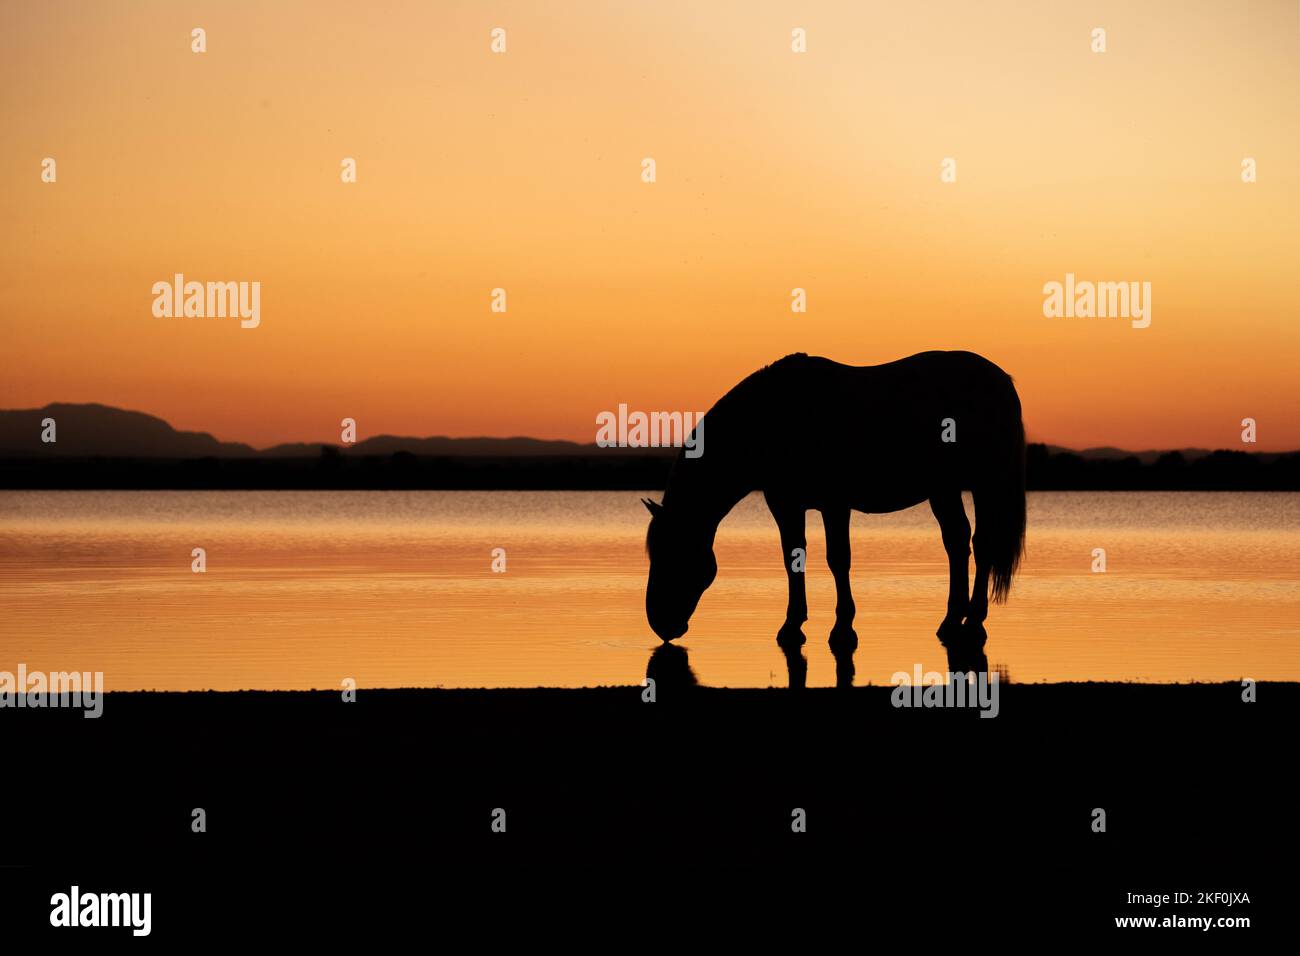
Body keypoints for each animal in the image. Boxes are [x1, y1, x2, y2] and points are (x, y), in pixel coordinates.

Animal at [642, 351, 1026, 686]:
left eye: (672, 553)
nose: (660, 624)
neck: (774, 418)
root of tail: (1000, 380)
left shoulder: (835, 503)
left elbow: (838, 559)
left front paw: (843, 630)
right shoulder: (785, 505)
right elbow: (792, 559)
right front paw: (792, 627)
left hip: (984, 483)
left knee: (983, 544)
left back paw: (974, 622)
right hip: (944, 489)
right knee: (957, 542)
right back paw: (950, 622)